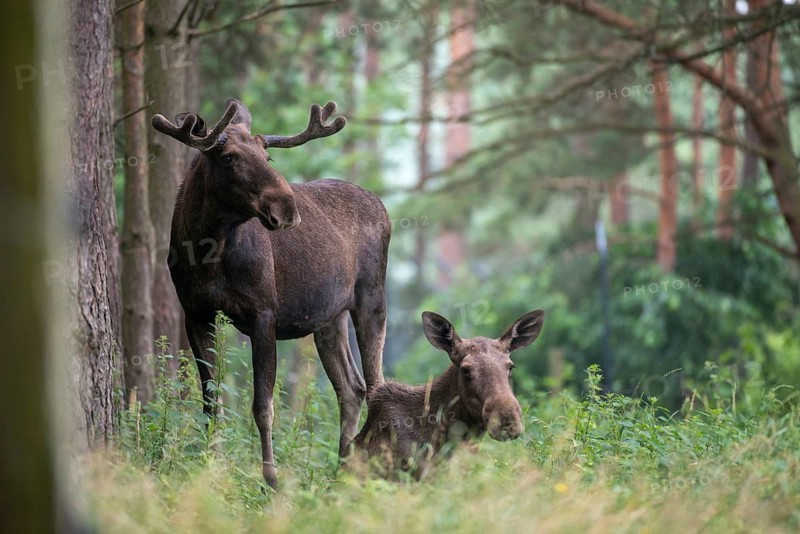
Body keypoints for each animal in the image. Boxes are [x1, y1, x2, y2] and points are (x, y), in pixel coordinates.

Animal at [151, 99, 390, 489]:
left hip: (372, 298)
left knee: (375, 384)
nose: (286, 208)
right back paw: (341, 471)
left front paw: (270, 481)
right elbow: (210, 401)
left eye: (267, 155)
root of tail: (383, 206)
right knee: (350, 388)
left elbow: (263, 406)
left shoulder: (263, 313)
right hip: (329, 317)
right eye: (228, 157)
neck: (207, 250)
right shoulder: (195, 313)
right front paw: (210, 467)